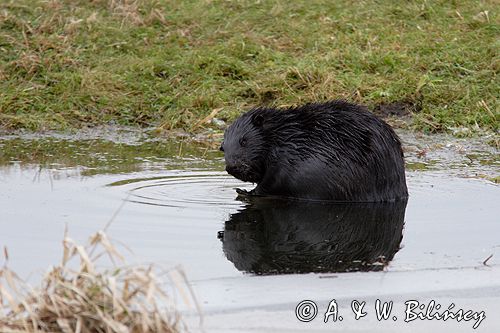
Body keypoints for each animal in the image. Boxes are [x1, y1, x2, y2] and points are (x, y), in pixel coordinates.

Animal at [221, 100, 408, 201]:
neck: (286, 135)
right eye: (222, 147)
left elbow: (272, 181)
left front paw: (244, 192)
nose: (232, 167)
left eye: (243, 141)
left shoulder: (285, 157)